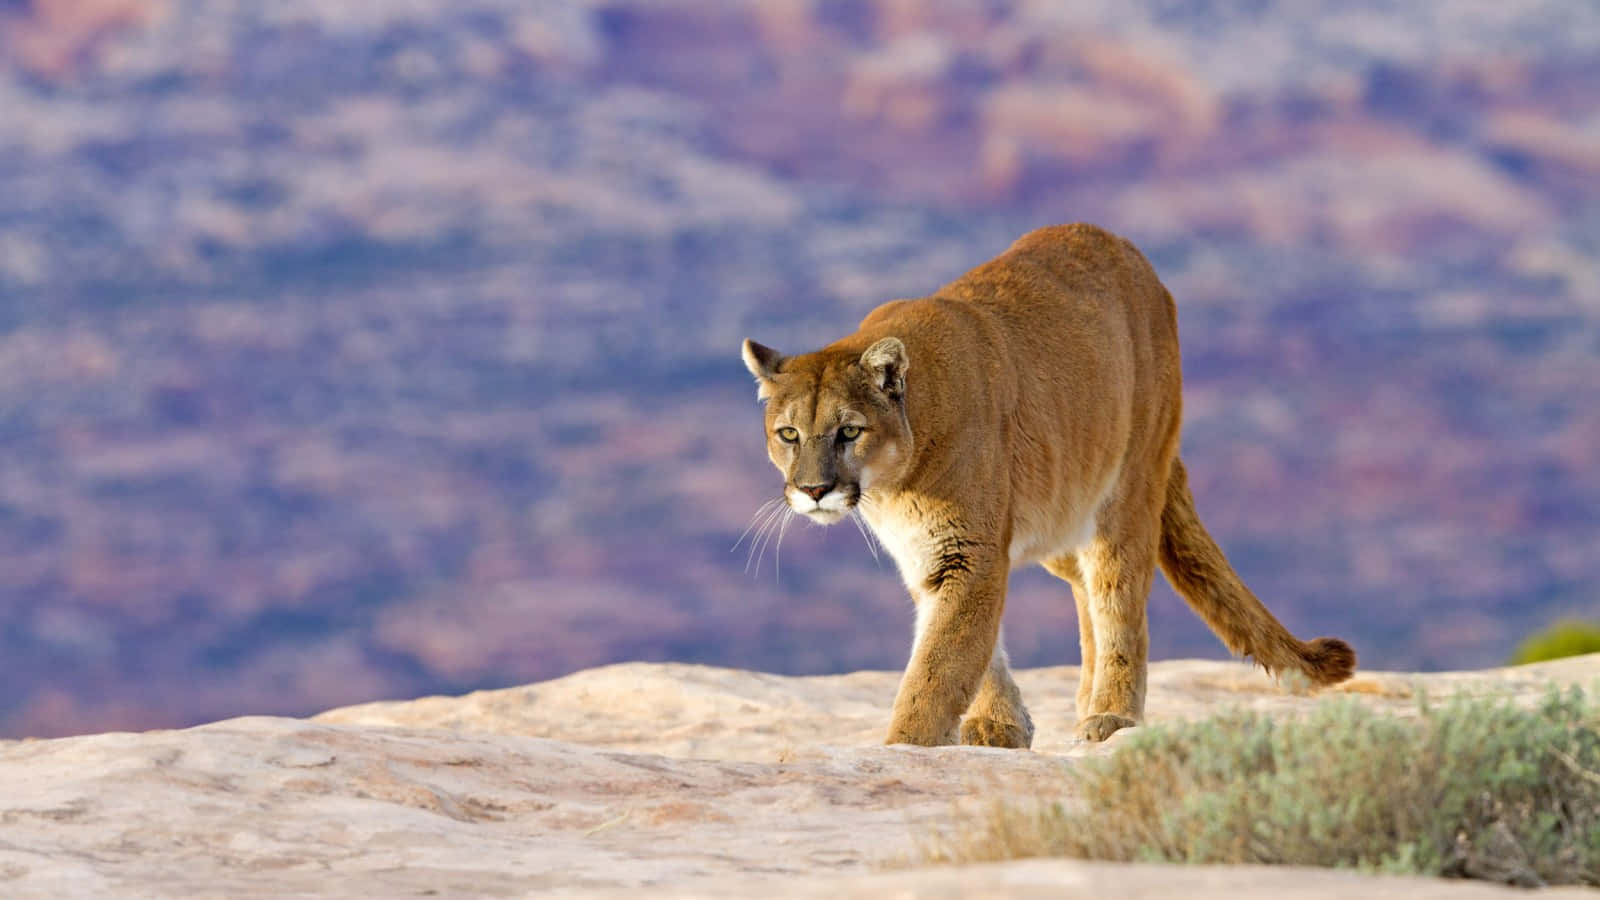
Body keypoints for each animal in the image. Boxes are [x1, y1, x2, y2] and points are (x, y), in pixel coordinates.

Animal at [742, 224, 1356, 743]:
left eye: (849, 430)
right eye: (789, 433)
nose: (813, 490)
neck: (896, 483)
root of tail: (1130, 252)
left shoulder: (970, 550)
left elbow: (941, 662)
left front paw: (906, 744)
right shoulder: (935, 554)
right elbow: (973, 646)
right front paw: (1001, 724)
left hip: (1126, 489)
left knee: (1118, 597)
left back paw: (1111, 713)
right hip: (1061, 507)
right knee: (1085, 590)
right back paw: (1084, 699)